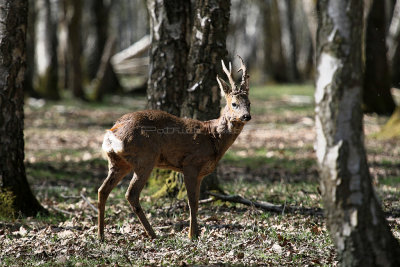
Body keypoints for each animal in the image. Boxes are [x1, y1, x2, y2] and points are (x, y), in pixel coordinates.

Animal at [97, 55, 250, 242]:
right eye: (234, 104)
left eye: (249, 103)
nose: (247, 116)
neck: (213, 137)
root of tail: (112, 133)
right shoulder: (190, 164)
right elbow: (192, 202)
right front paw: (192, 235)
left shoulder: (200, 173)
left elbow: (196, 201)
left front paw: (196, 233)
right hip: (145, 158)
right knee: (131, 193)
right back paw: (152, 234)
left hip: (118, 162)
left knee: (102, 190)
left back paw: (101, 235)